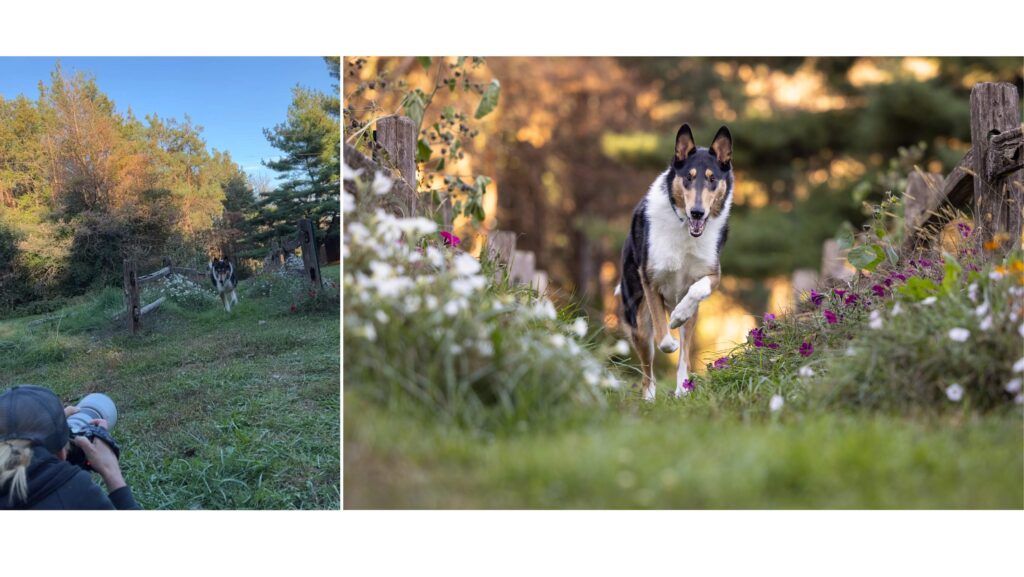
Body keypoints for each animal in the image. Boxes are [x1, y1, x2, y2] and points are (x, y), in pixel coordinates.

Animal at [618, 121, 733, 401]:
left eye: (712, 179)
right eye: (688, 177)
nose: (697, 212)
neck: (685, 230)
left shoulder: (712, 274)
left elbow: (696, 291)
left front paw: (678, 314)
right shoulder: (650, 281)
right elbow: (663, 337)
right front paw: (668, 337)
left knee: (685, 355)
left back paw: (683, 389)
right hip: (637, 318)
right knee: (647, 368)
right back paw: (649, 398)